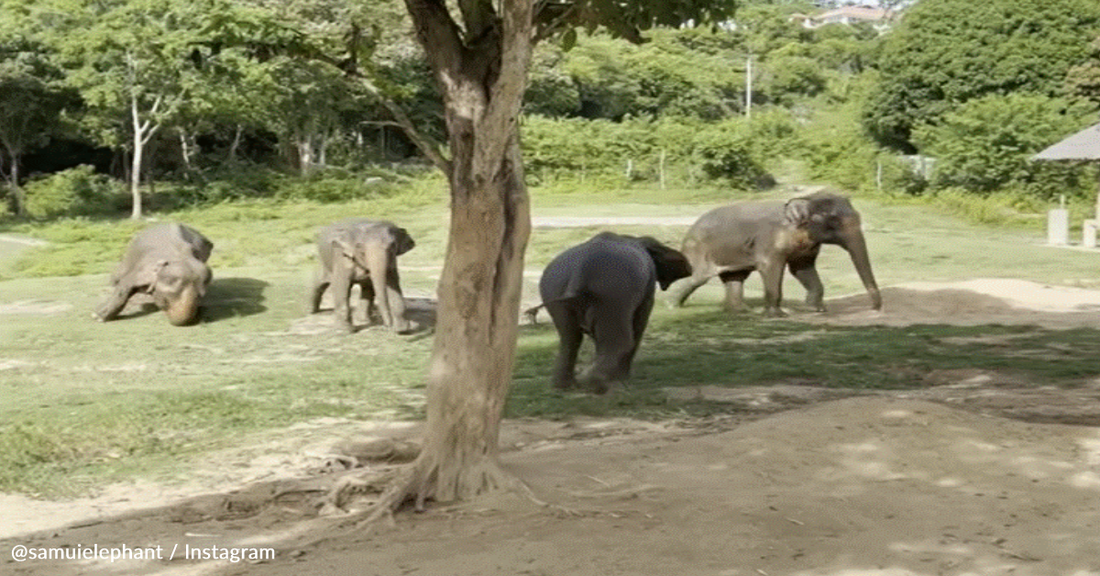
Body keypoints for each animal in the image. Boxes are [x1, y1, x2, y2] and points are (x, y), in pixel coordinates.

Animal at [528, 231, 690, 393]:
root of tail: (580, 271)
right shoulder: (647, 288)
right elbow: (641, 318)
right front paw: (623, 378)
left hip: (555, 292)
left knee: (569, 338)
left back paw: (565, 387)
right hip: (614, 294)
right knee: (620, 340)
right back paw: (595, 383)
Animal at [664, 191, 880, 316]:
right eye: (834, 221)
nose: (875, 309)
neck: (806, 199)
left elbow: (803, 269)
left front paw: (815, 309)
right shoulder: (770, 241)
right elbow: (771, 267)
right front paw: (778, 315)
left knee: (736, 277)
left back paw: (741, 312)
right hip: (699, 248)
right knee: (697, 277)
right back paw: (671, 306)